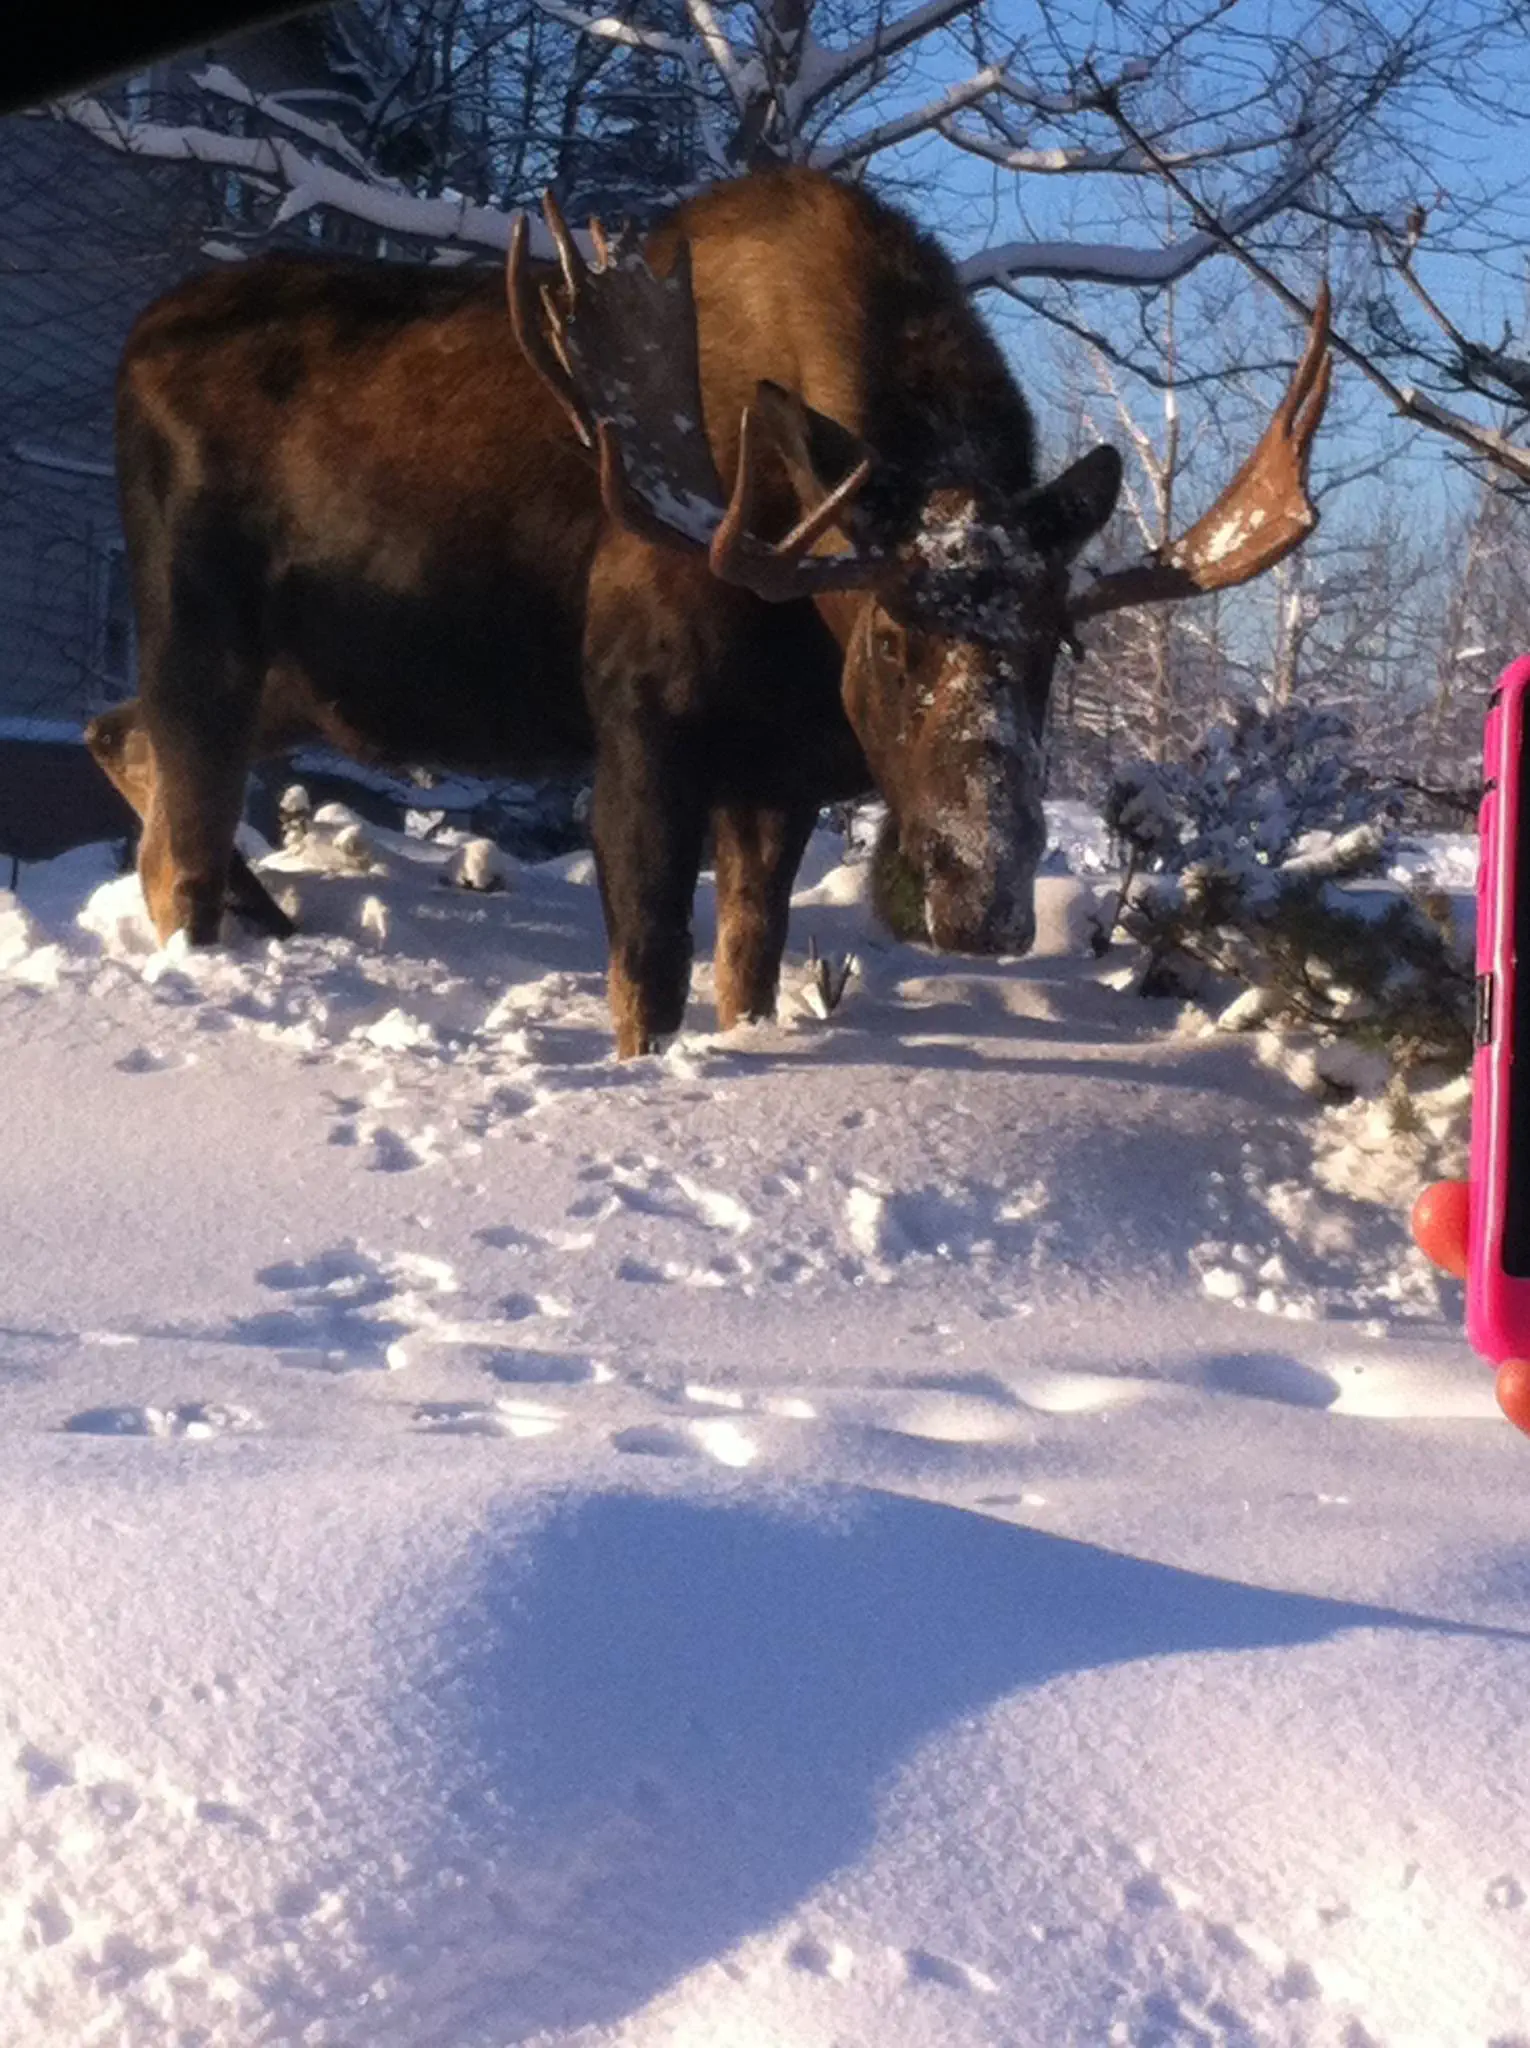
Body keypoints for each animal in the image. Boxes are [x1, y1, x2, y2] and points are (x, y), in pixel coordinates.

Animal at [90, 165, 1331, 1056]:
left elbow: (750, 971)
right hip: (197, 627)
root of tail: (134, 339)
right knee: (179, 835)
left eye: (1060, 643)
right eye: (892, 632)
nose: (983, 900)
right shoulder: (645, 726)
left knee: (121, 741)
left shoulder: (779, 770)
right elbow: (647, 980)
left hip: (297, 680)